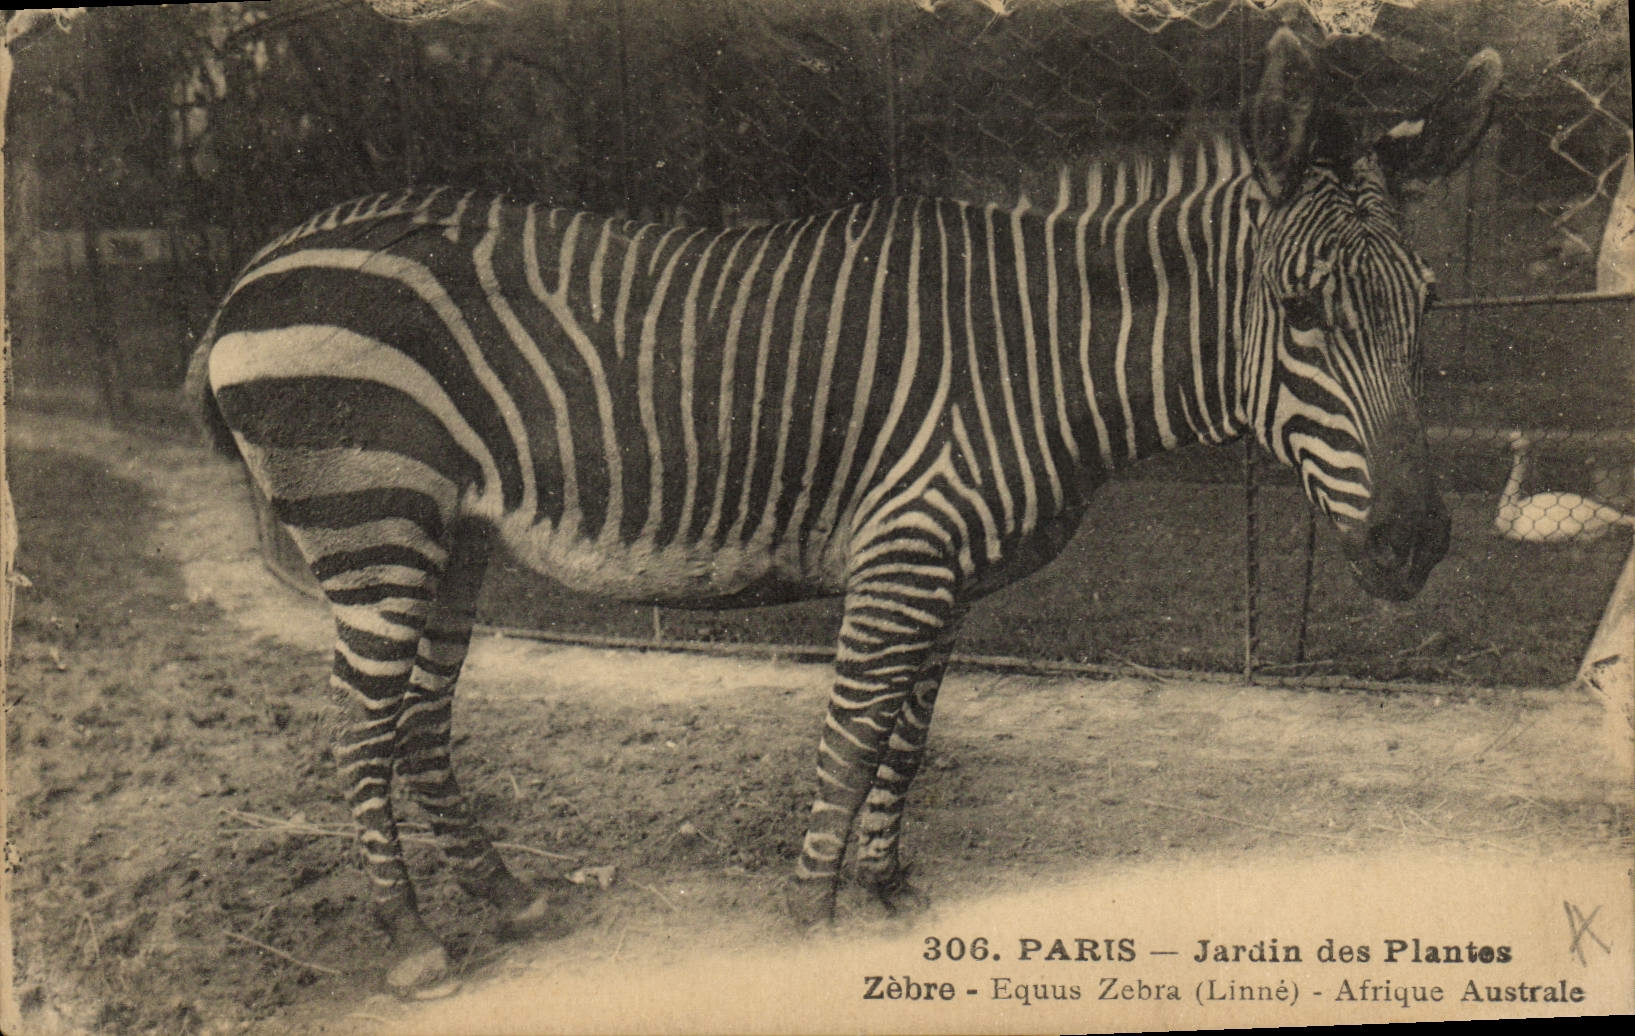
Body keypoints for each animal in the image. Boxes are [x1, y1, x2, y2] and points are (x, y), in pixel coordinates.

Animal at [187, 30, 1498, 996]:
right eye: (1301, 311)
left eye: (1430, 303)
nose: (1417, 542)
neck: (1044, 350)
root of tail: (257, 264)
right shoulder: (907, 553)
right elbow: (855, 732)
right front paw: (811, 912)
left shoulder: (945, 573)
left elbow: (910, 738)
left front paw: (888, 891)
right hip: (374, 523)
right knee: (359, 726)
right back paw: (411, 938)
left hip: (450, 538)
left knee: (417, 720)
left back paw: (506, 900)